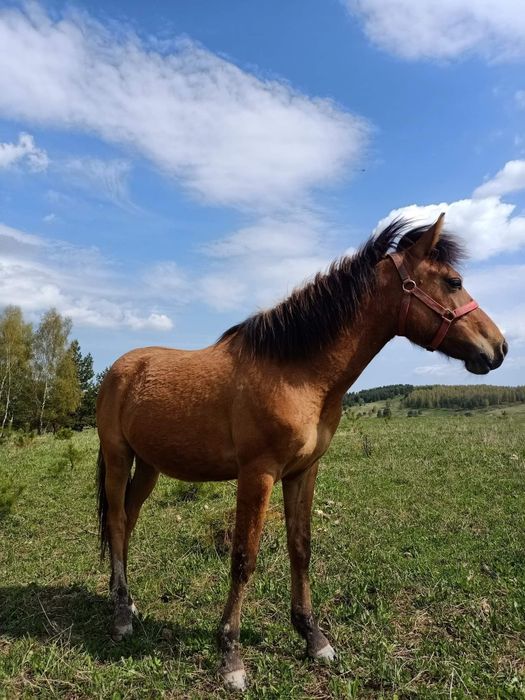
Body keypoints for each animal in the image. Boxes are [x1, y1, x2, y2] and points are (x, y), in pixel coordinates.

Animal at [96, 213, 506, 688]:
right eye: (454, 282)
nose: (499, 347)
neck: (296, 372)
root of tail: (119, 369)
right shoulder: (257, 474)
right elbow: (244, 558)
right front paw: (230, 654)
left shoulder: (303, 472)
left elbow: (301, 548)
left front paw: (313, 637)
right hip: (118, 457)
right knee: (118, 522)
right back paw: (122, 616)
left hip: (148, 466)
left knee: (127, 520)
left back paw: (125, 598)